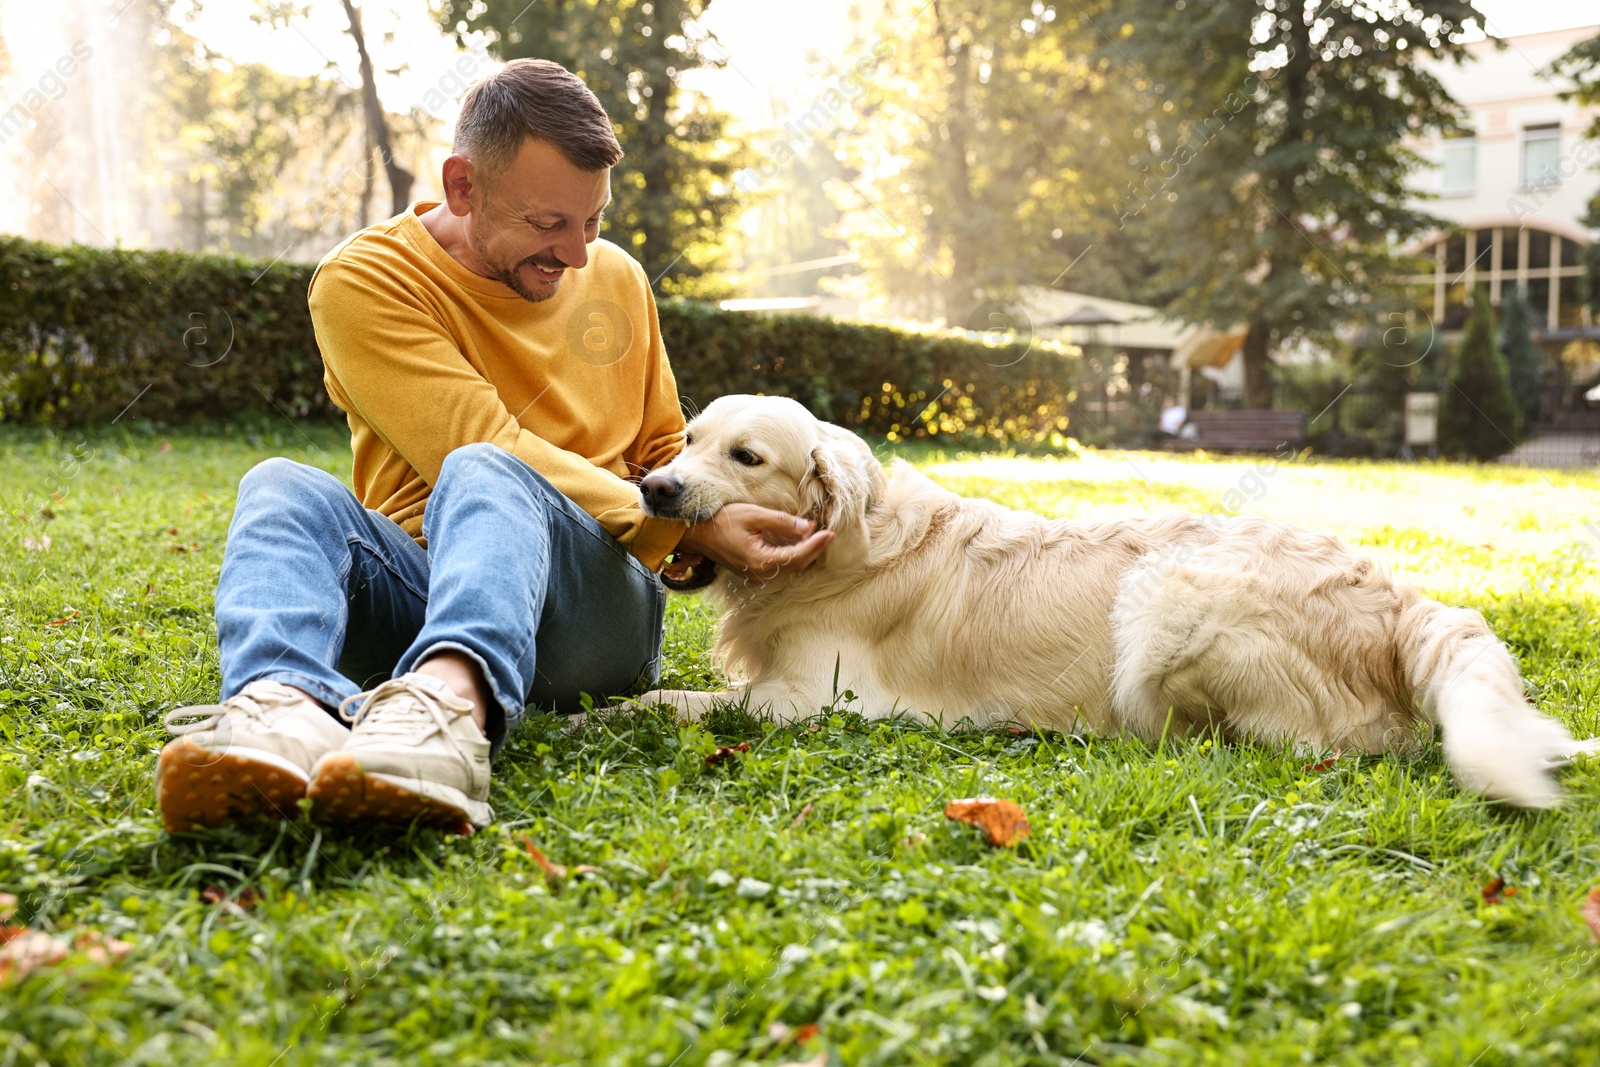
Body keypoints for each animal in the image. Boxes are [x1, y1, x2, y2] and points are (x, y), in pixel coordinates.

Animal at [630, 396, 1593, 806]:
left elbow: (671, 697)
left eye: (747, 457)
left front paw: (614, 709)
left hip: (1165, 592)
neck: (842, 545)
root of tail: (1399, 597)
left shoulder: (813, 700)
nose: (653, 487)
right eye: (689, 439)